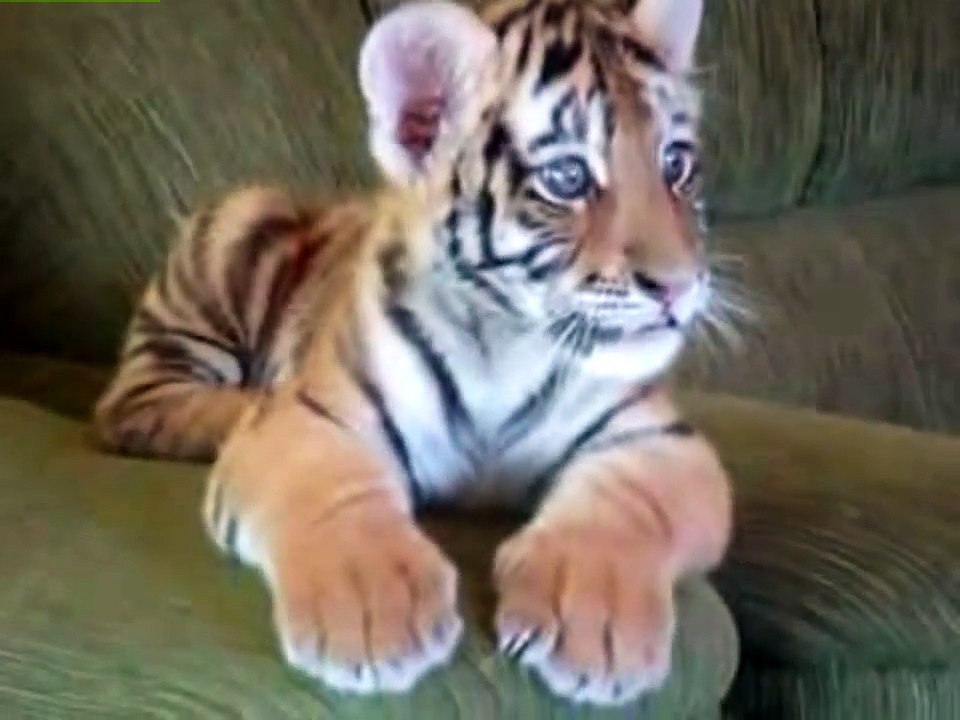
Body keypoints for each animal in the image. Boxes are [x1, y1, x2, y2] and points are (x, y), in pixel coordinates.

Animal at [93, 0, 732, 707]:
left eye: (676, 164)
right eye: (567, 178)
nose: (680, 286)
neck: (505, 345)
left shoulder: (663, 441)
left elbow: (624, 506)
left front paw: (593, 619)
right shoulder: (309, 420)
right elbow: (333, 492)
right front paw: (373, 614)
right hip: (240, 224)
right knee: (135, 404)